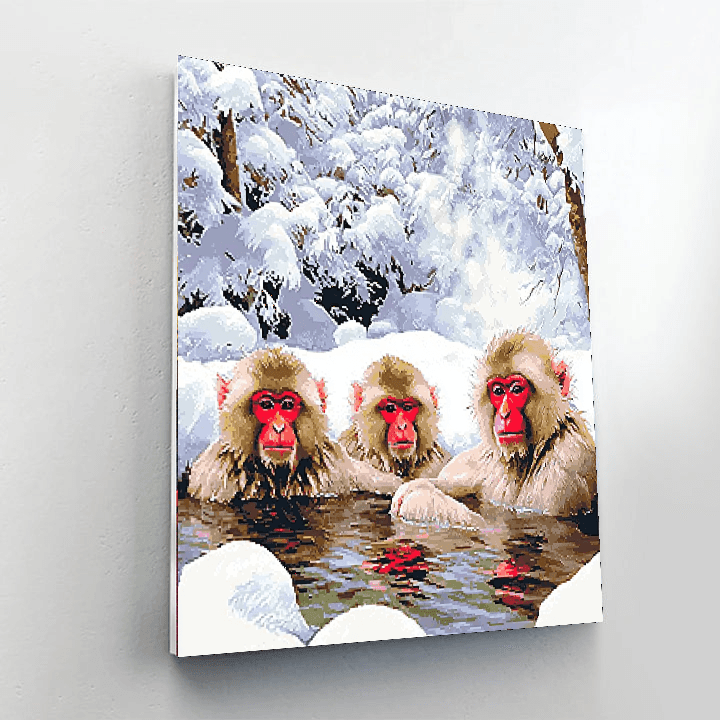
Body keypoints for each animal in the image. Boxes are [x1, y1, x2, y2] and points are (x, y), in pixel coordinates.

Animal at [391, 331, 597, 524]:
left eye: (516, 389)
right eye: (498, 391)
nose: (504, 414)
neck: (524, 458)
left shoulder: (568, 462)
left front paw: (420, 496)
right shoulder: (479, 460)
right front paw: (417, 485)